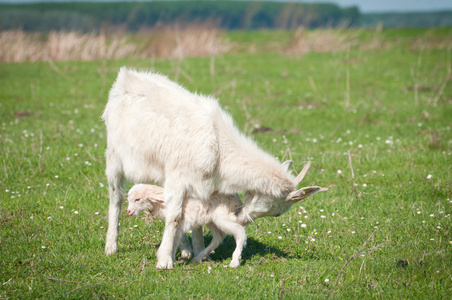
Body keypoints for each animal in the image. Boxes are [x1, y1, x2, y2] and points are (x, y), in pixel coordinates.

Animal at [102, 68, 322, 270]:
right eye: (277, 213)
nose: (242, 220)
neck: (219, 148)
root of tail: (126, 76)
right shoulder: (178, 177)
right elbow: (174, 217)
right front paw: (164, 261)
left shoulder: (201, 185)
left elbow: (192, 215)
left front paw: (199, 253)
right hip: (114, 157)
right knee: (116, 198)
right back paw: (111, 246)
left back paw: (185, 249)